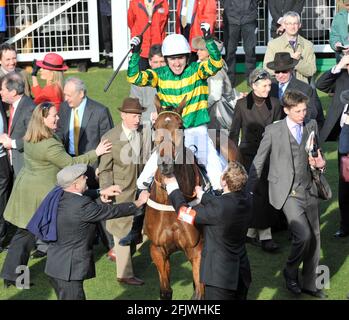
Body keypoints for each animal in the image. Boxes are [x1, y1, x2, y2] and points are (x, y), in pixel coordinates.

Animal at [144, 98, 239, 300]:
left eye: (180, 126)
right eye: (155, 127)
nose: (165, 164)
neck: (170, 202)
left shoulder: (197, 249)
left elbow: (200, 292)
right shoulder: (157, 249)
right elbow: (166, 291)